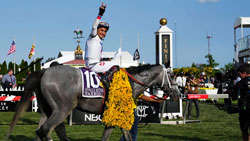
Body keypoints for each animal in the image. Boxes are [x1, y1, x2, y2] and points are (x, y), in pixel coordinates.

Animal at [6, 64, 180, 141]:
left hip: (47, 111)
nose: (178, 93)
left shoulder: (112, 118)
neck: (130, 83)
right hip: (62, 110)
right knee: (45, 131)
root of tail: (44, 71)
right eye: (172, 76)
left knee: (40, 132)